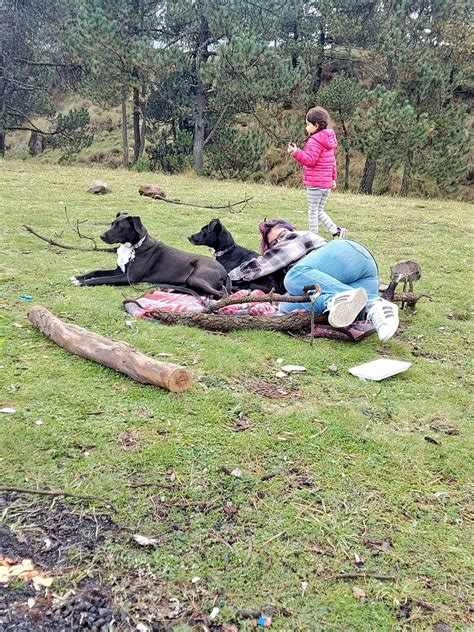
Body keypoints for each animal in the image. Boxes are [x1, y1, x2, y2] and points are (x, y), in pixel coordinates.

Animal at [71, 212, 231, 298]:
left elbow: (99, 279)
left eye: (119, 227)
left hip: (196, 278)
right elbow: (95, 272)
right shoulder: (119, 270)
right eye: (111, 224)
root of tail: (224, 271)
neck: (132, 247)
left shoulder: (128, 277)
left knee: (221, 294)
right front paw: (78, 277)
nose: (101, 236)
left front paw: (82, 283)